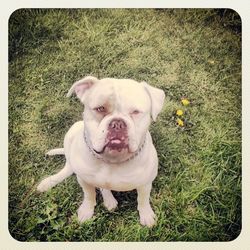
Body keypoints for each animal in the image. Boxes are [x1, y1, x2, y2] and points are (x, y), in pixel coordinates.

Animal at [37, 76, 165, 227]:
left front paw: (146, 215)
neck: (111, 160)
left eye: (135, 112)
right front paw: (86, 210)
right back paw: (49, 182)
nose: (117, 123)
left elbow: (143, 200)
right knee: (69, 168)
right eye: (100, 108)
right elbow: (89, 195)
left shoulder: (145, 184)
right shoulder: (84, 180)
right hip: (72, 131)